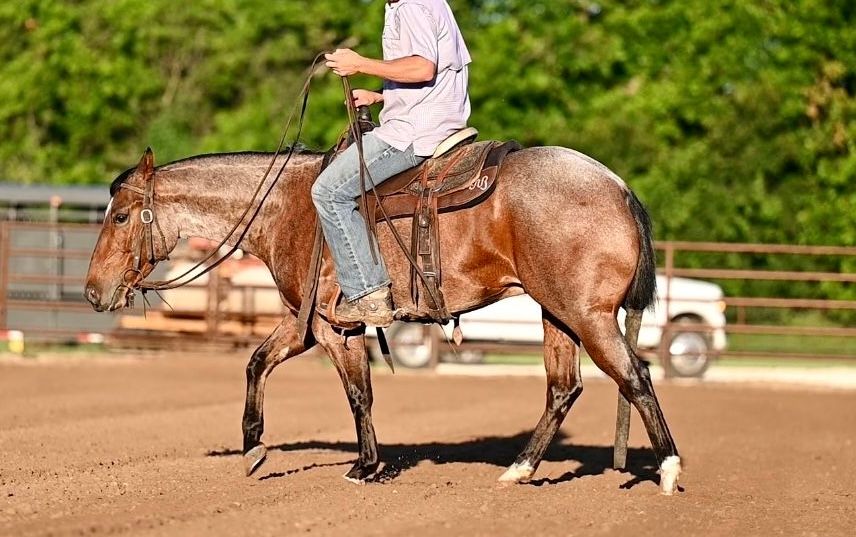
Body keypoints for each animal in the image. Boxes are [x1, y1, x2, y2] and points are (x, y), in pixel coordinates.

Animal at [84, 145, 682, 495]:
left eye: (120, 216)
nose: (93, 292)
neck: (288, 207)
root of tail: (618, 186)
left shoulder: (330, 327)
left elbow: (356, 392)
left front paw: (363, 466)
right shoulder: (307, 322)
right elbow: (259, 363)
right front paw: (254, 447)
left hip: (587, 315)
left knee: (635, 377)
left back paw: (668, 472)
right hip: (556, 313)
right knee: (564, 387)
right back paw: (519, 470)